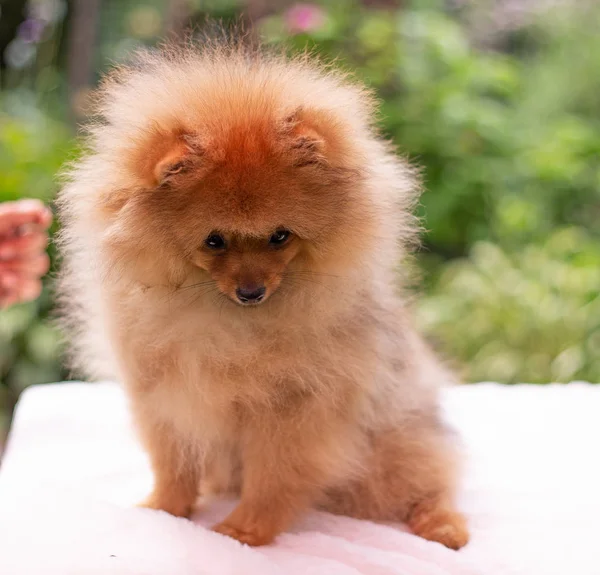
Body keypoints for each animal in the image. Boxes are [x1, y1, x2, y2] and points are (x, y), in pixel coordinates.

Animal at [57, 38, 468, 552]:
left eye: (280, 236)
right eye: (214, 240)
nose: (251, 291)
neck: (226, 323)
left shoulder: (295, 410)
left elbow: (272, 476)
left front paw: (244, 531)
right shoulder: (162, 393)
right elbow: (173, 462)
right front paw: (164, 510)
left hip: (395, 445)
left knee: (429, 483)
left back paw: (443, 525)